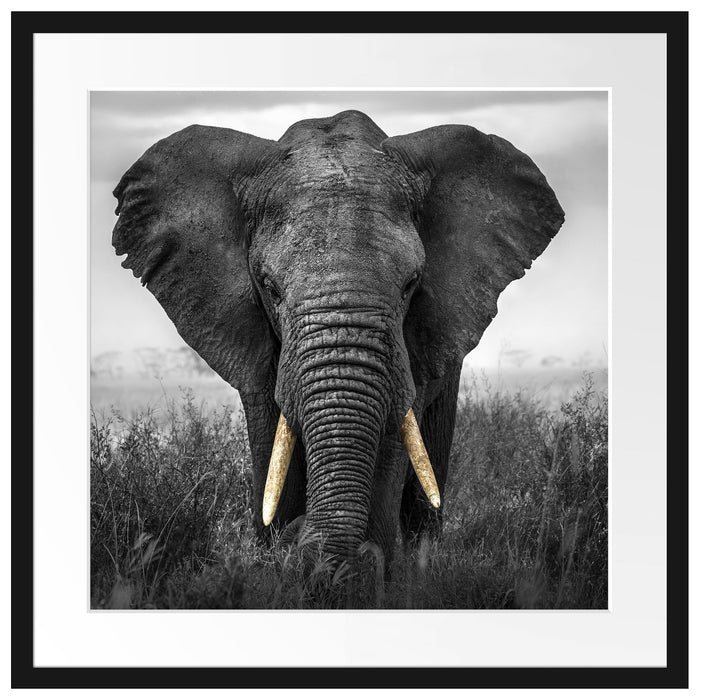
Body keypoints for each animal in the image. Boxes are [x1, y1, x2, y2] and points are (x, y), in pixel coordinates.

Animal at [112, 109, 564, 565]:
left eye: (411, 284)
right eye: (270, 288)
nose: (299, 536)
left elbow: (394, 434)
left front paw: (365, 566)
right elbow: (271, 436)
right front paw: (278, 555)